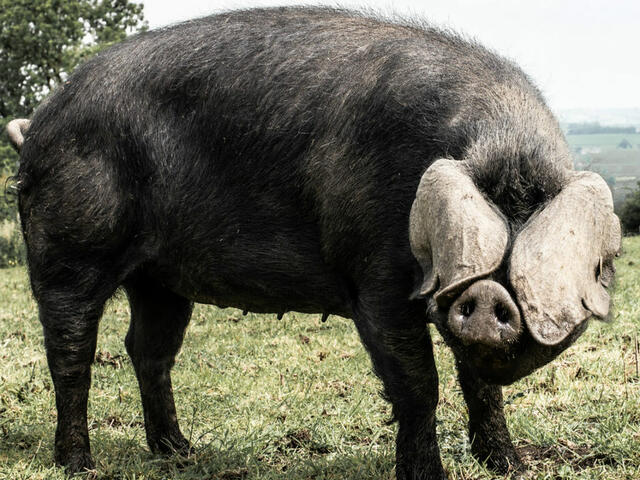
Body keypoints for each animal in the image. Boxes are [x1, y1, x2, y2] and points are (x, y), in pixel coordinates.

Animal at [6, 7, 621, 479]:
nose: (488, 296)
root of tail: (39, 125)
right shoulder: (374, 277)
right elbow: (418, 385)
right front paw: (427, 475)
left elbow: (480, 386)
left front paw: (510, 467)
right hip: (69, 247)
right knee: (71, 352)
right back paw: (79, 464)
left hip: (159, 278)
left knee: (147, 349)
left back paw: (180, 453)